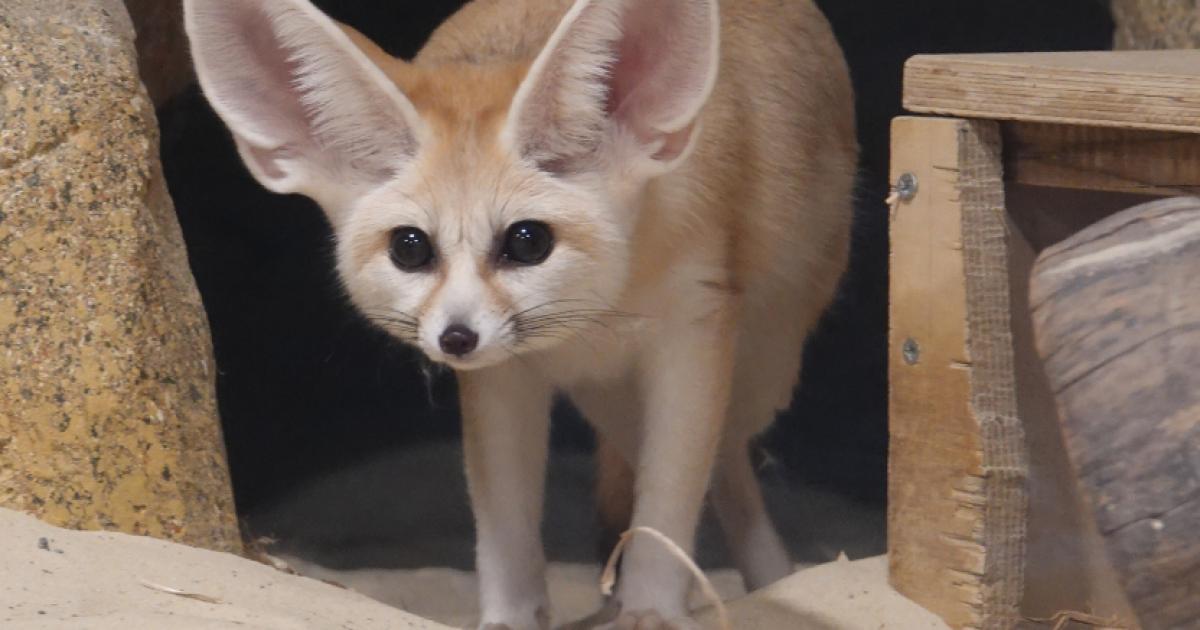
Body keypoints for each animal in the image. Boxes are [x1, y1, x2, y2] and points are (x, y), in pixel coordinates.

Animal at [184, 0, 856, 627]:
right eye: (410, 248)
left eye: (528, 242)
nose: (455, 337)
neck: (596, 318)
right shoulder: (501, 377)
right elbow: (503, 520)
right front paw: (511, 616)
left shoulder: (692, 336)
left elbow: (669, 498)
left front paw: (653, 608)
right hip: (614, 403)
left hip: (762, 371)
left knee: (729, 466)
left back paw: (769, 577)